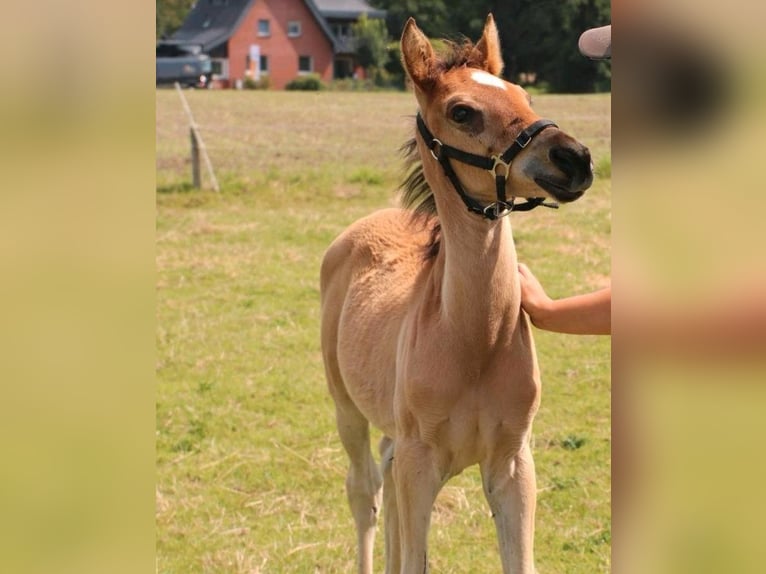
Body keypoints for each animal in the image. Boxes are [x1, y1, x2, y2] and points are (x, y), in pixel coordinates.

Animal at [318, 13, 592, 574]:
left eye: (523, 94)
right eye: (461, 111)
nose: (574, 158)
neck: (472, 340)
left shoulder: (513, 464)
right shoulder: (421, 464)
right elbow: (411, 550)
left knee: (384, 475)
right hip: (346, 407)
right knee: (364, 489)